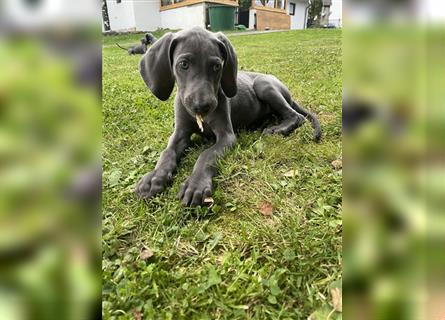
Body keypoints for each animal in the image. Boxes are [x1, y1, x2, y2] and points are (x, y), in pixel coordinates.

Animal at [134, 27, 320, 208]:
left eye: (217, 66)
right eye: (184, 64)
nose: (202, 106)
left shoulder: (226, 136)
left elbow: (207, 155)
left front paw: (196, 184)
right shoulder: (179, 134)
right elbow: (167, 153)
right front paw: (154, 177)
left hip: (263, 85)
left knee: (297, 116)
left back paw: (278, 129)